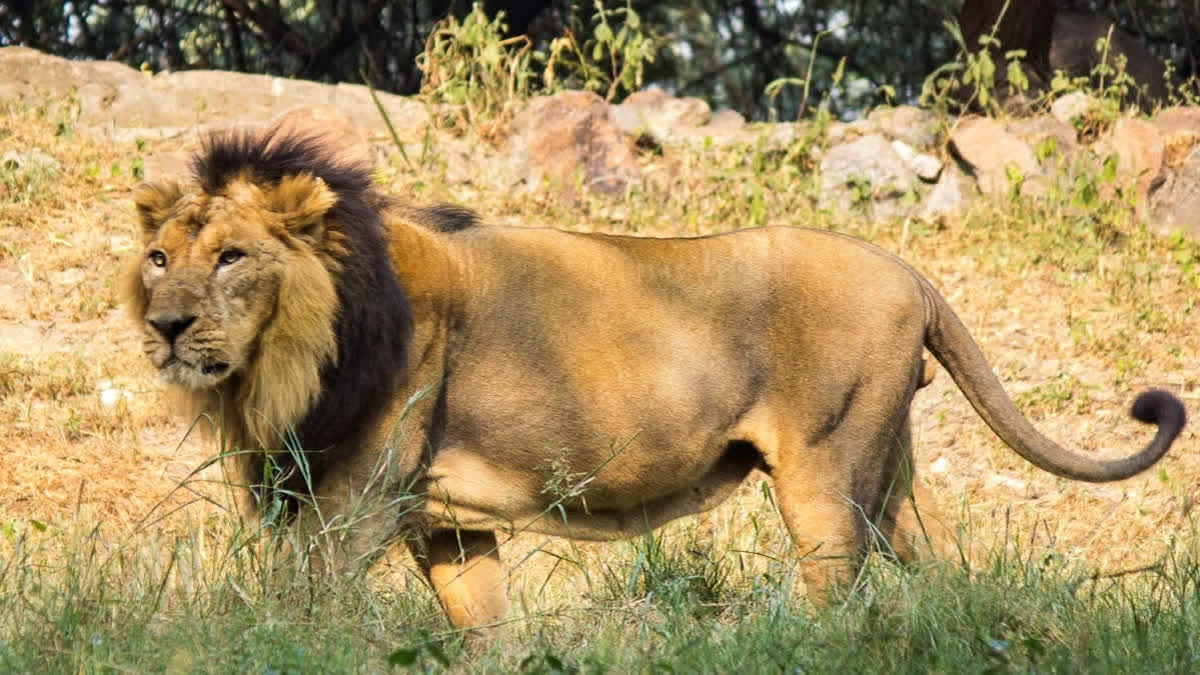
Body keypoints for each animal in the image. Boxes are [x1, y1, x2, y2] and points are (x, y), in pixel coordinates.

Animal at [121, 130, 1186, 629]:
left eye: (231, 257)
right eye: (160, 257)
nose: (165, 326)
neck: (284, 364)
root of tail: (908, 269)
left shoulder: (355, 503)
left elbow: (300, 609)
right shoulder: (447, 522)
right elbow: (484, 631)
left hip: (826, 473)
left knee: (836, 587)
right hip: (890, 478)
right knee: (947, 568)